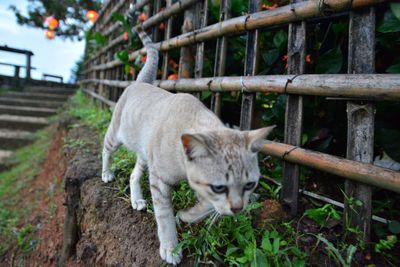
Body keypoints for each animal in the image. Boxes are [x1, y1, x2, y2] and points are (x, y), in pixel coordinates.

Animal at [101, 26, 276, 266]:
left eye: (250, 185)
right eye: (219, 187)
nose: (239, 209)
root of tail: (141, 82)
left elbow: (207, 206)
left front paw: (187, 215)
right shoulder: (159, 181)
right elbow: (164, 217)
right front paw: (171, 249)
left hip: (145, 156)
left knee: (134, 175)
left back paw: (136, 199)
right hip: (116, 137)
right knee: (106, 151)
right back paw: (106, 173)